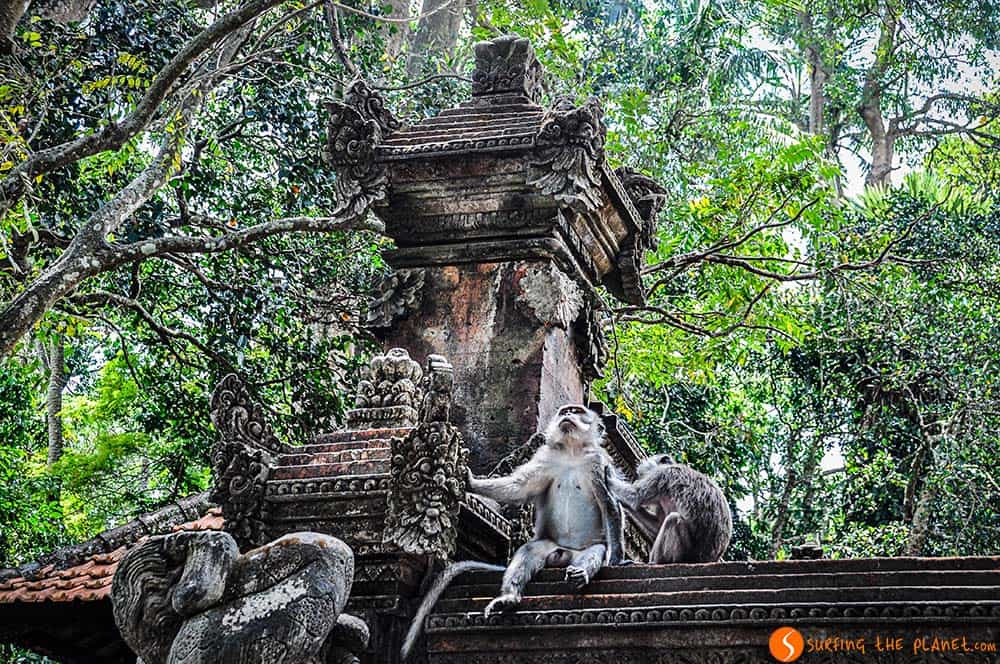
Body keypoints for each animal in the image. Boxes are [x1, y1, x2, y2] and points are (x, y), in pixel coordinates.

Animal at [399, 404, 625, 661]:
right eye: (565, 411)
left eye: (576, 411)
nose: (567, 415)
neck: (571, 452)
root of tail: (563, 554)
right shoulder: (546, 458)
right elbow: (519, 487)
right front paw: (470, 482)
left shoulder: (597, 463)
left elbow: (608, 503)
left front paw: (617, 558)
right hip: (547, 545)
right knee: (527, 551)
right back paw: (509, 598)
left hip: (581, 551)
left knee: (594, 551)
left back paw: (581, 573)